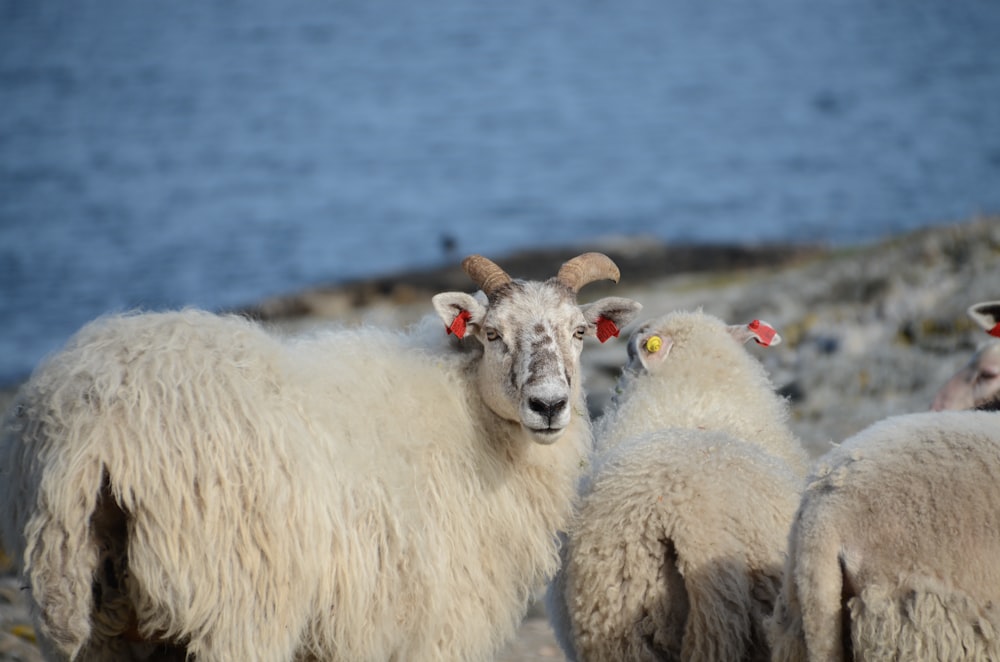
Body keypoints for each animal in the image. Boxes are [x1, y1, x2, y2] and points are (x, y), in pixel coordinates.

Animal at [0, 253, 640, 662]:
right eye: (491, 335)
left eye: (580, 332)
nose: (549, 405)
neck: (463, 412)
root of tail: (96, 427)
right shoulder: (433, 622)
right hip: (237, 609)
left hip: (90, 614)